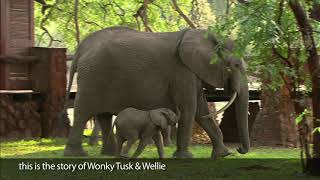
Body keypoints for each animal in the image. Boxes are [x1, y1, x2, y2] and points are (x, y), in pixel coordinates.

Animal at [63, 26, 250, 158]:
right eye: (235, 66)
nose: (240, 149)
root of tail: (81, 48)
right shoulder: (182, 72)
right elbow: (190, 108)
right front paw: (184, 157)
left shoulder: (192, 72)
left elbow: (200, 111)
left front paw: (223, 155)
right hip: (92, 77)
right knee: (83, 112)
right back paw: (77, 155)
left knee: (104, 116)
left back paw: (108, 154)